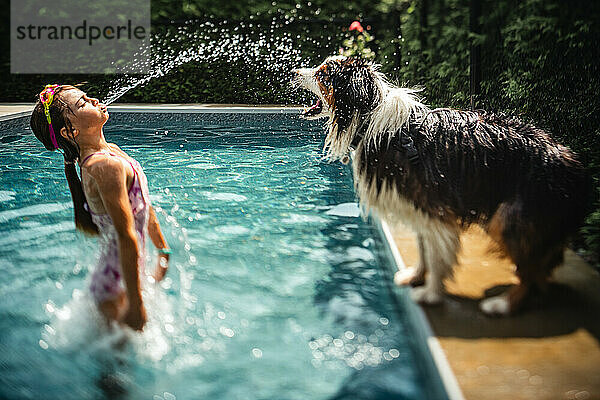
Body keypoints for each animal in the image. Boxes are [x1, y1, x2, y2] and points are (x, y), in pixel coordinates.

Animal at [292, 55, 588, 316]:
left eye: (322, 74)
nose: (294, 72)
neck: (370, 118)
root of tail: (572, 162)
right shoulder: (417, 205)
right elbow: (423, 247)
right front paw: (416, 276)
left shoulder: (434, 206)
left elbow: (436, 255)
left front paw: (431, 294)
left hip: (509, 217)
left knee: (530, 270)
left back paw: (503, 305)